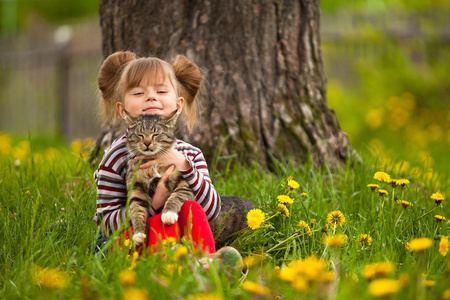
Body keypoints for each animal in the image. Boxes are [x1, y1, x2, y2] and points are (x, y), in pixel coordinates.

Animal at [124, 109, 194, 245]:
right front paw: (139, 234)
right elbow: (137, 209)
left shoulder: (183, 182)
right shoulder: (137, 187)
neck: (153, 162)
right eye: (140, 135)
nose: (147, 143)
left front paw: (168, 214)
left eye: (155, 134)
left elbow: (176, 195)